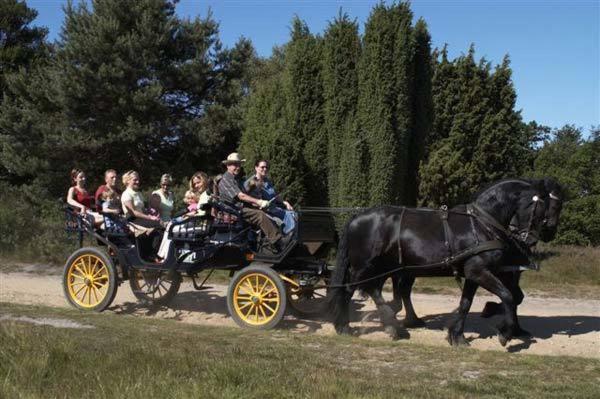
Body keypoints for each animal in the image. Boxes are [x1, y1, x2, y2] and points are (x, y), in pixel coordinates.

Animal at [330, 179, 556, 346]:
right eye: (541, 206)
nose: (531, 239)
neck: (481, 224)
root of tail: (356, 217)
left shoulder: (474, 273)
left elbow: (466, 303)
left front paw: (457, 336)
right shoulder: (479, 271)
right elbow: (507, 296)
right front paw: (505, 334)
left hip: (382, 266)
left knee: (373, 289)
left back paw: (392, 325)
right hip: (366, 265)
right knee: (351, 290)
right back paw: (346, 326)